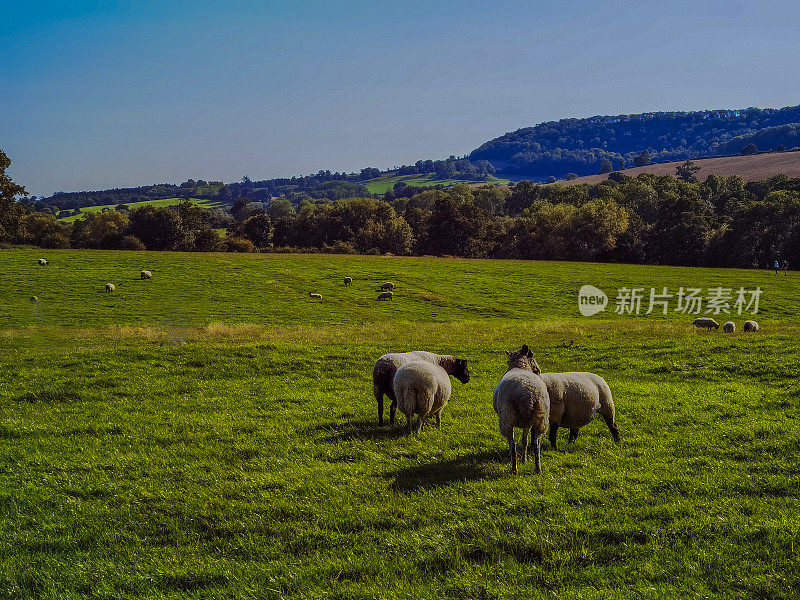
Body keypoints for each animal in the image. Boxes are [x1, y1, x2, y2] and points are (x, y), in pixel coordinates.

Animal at [494, 344, 552, 476]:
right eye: (533, 356)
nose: (538, 370)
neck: (520, 367)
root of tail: (526, 394)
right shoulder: (528, 423)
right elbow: (525, 441)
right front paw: (524, 460)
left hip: (507, 418)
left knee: (512, 444)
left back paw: (514, 469)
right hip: (540, 418)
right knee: (536, 444)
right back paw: (538, 468)